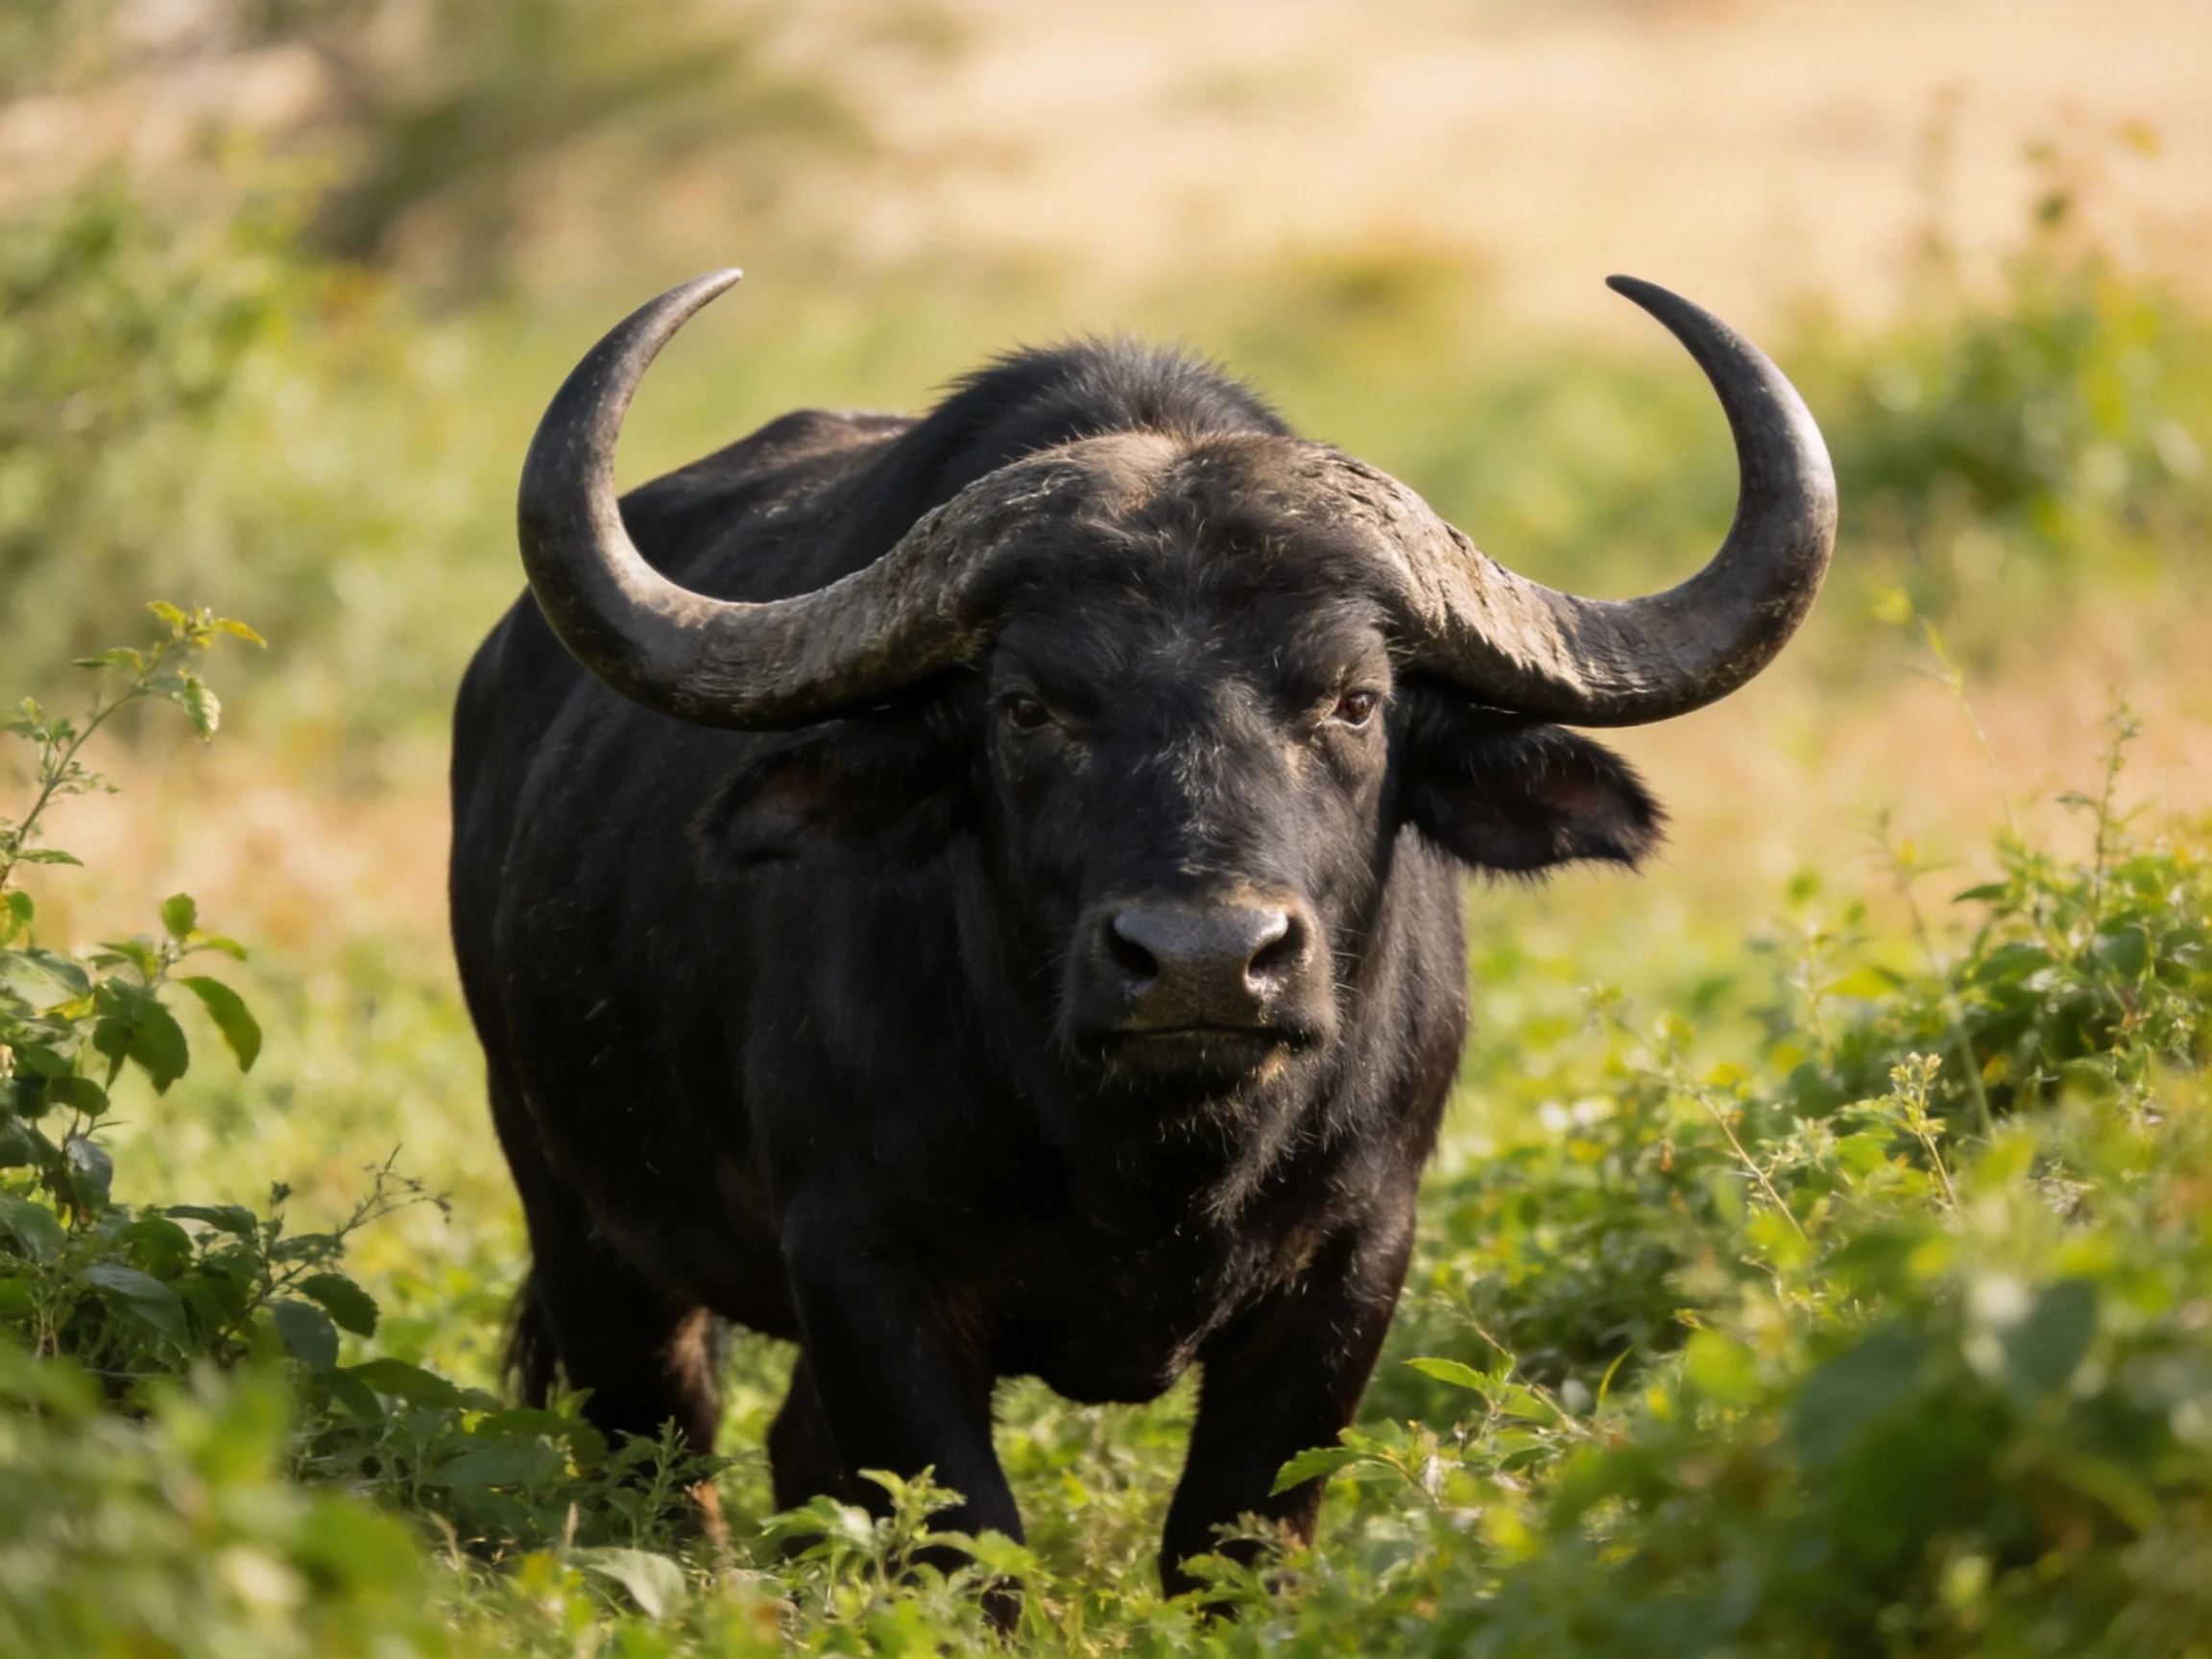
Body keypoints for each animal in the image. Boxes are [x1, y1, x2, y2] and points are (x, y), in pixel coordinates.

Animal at [448, 270, 1834, 1593]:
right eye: (1027, 706)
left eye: (1356, 700)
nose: (1204, 960)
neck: (1147, 1156)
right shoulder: (861, 1272)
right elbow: (970, 1545)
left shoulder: (1356, 1263)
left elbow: (1231, 1538)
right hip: (577, 1218)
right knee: (656, 1458)